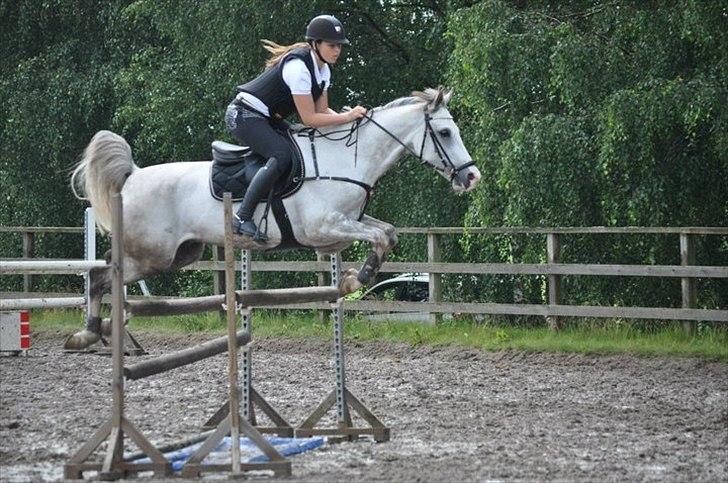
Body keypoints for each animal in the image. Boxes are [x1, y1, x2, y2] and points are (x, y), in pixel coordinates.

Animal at [64, 87, 481, 350]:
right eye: (445, 132)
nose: (472, 177)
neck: (345, 160)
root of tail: (133, 175)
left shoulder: (346, 224)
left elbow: (388, 234)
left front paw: (351, 277)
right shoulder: (322, 229)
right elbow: (378, 239)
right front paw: (355, 279)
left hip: (179, 254)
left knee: (105, 274)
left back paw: (99, 331)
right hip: (150, 254)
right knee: (100, 275)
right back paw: (87, 334)